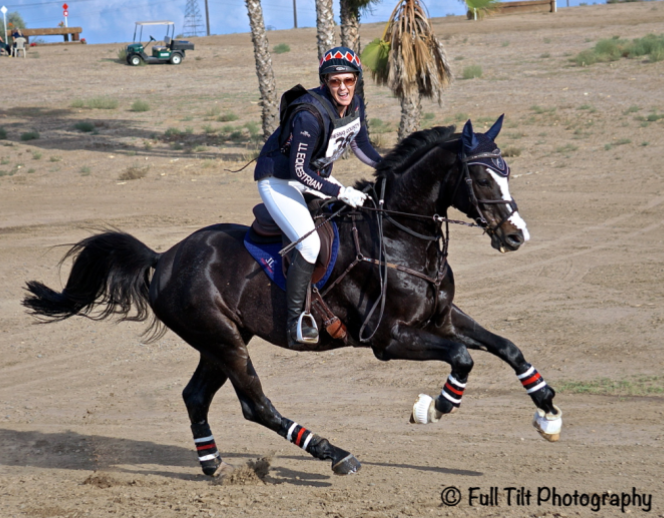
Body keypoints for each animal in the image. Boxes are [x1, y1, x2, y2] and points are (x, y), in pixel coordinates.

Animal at [23, 117, 562, 478]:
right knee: (256, 405)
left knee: (196, 395)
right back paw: (333, 453)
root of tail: (165, 257)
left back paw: (213, 463)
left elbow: (506, 347)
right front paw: (436, 406)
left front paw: (548, 412)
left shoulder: (442, 316)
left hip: (220, 341)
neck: (401, 236)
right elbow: (463, 358)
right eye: (481, 177)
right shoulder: (390, 338)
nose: (516, 235)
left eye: (507, 170)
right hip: (224, 341)